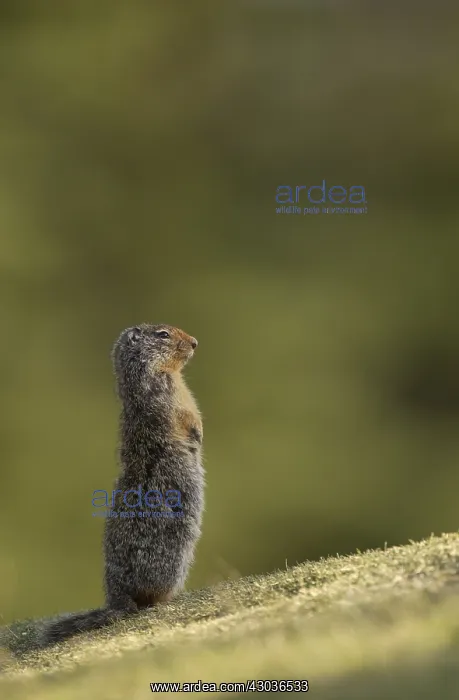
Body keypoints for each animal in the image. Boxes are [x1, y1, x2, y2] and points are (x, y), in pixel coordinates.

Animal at [39, 323, 205, 647]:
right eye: (163, 334)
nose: (194, 342)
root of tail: (118, 600)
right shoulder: (167, 392)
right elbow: (186, 414)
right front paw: (197, 434)